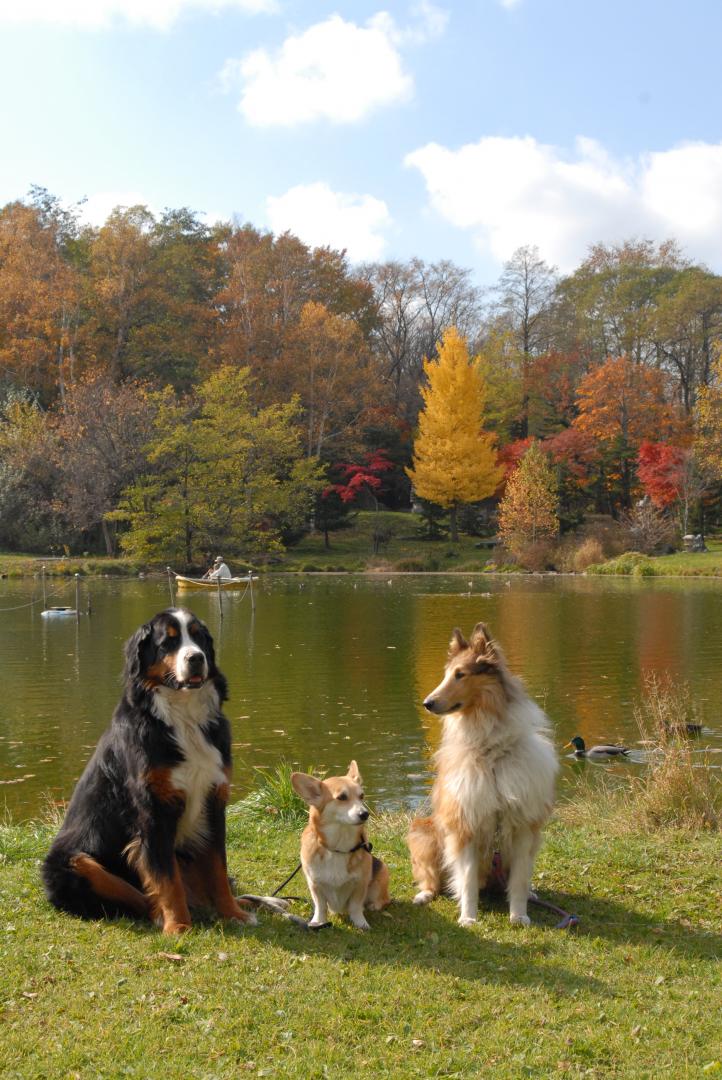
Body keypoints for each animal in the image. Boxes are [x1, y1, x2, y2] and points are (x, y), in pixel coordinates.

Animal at [42, 613, 254, 933]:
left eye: (199, 637)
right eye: (168, 642)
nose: (196, 658)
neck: (183, 717)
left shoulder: (214, 800)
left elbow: (218, 867)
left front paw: (232, 913)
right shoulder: (153, 811)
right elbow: (166, 878)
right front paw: (178, 926)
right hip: (73, 863)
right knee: (136, 896)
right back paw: (163, 915)